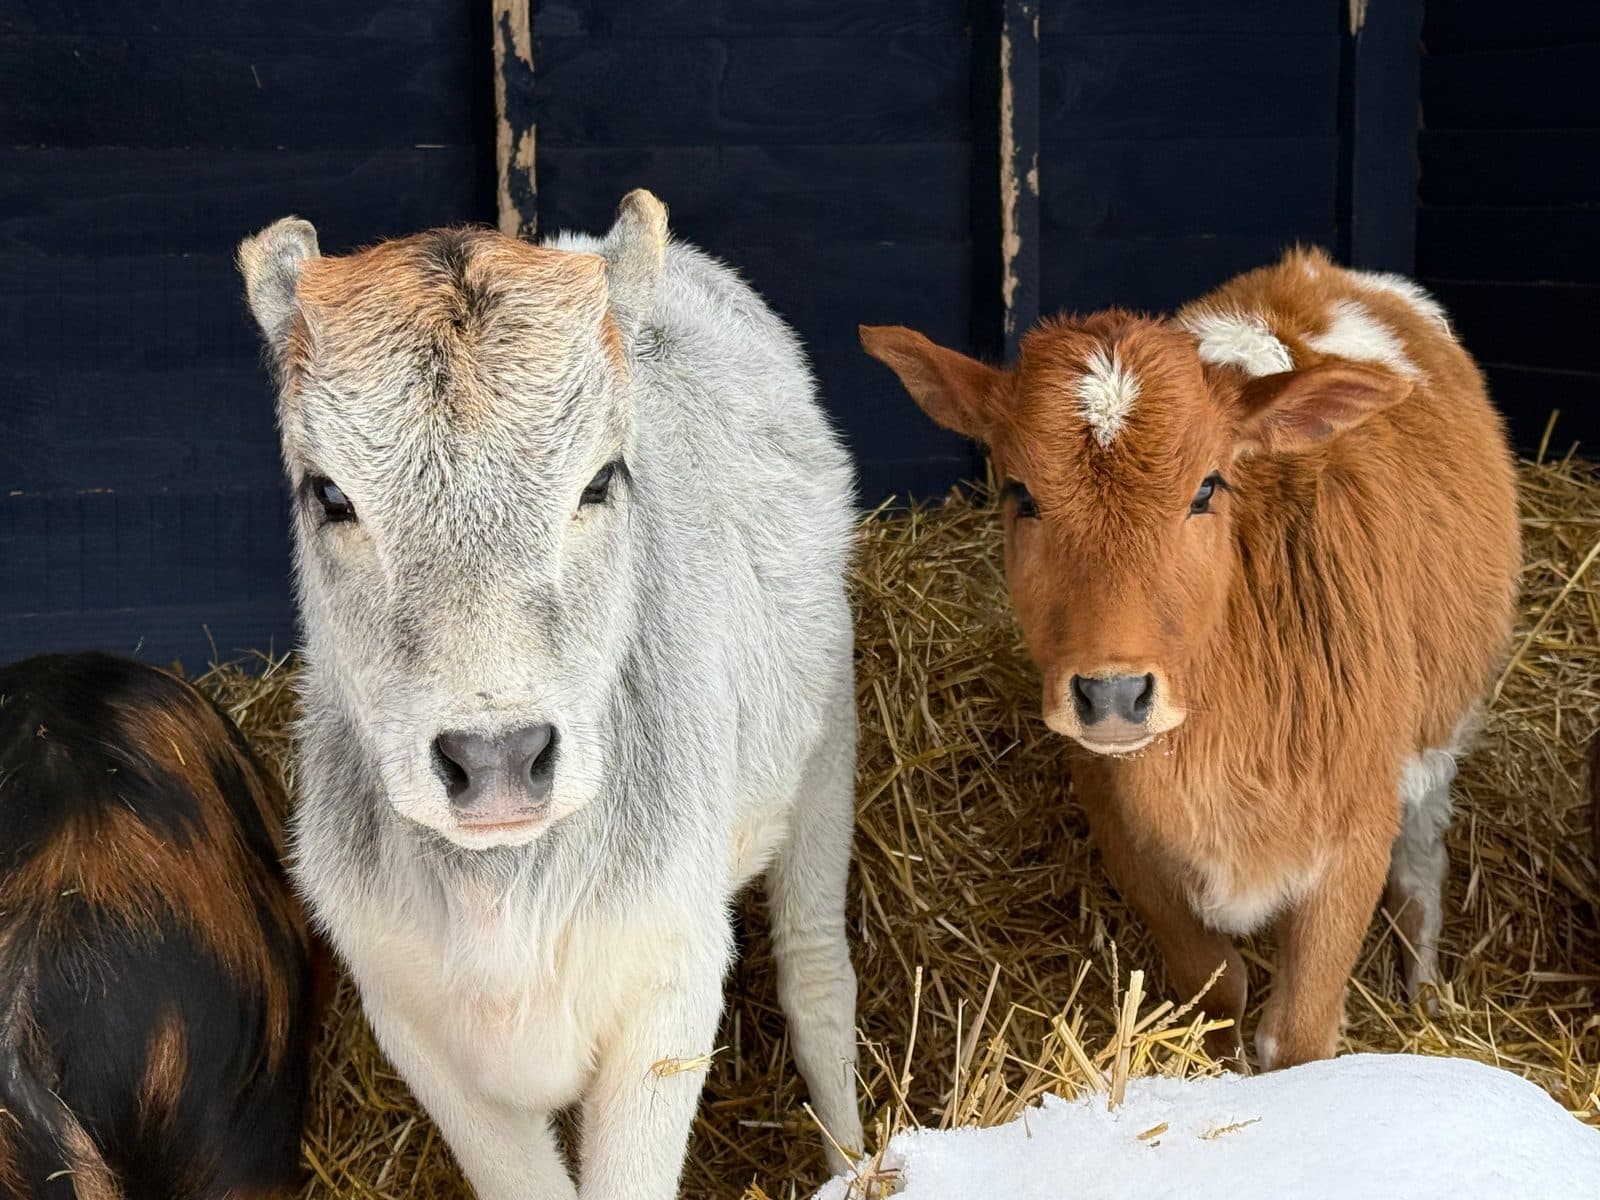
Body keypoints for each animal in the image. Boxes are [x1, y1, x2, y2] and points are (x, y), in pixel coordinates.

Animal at [238, 190, 863, 1199]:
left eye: (601, 479)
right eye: (329, 494)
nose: (496, 756)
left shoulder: (671, 987)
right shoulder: (407, 1018)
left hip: (826, 737)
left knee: (817, 977)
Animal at [861, 247, 1521, 1071]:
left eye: (1208, 487)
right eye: (1020, 493)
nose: (1114, 695)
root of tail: (1322, 273)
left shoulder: (1356, 829)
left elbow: (1299, 1036)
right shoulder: (1121, 826)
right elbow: (1217, 987)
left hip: (1440, 739)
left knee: (1422, 877)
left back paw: (1426, 995)